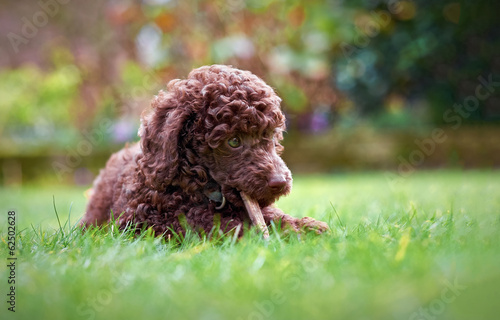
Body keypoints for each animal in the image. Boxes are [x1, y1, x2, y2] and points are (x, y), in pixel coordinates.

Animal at [81, 63, 328, 236]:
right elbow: (209, 223)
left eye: (268, 135)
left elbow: (273, 215)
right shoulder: (142, 220)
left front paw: (307, 226)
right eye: (233, 141)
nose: (279, 182)